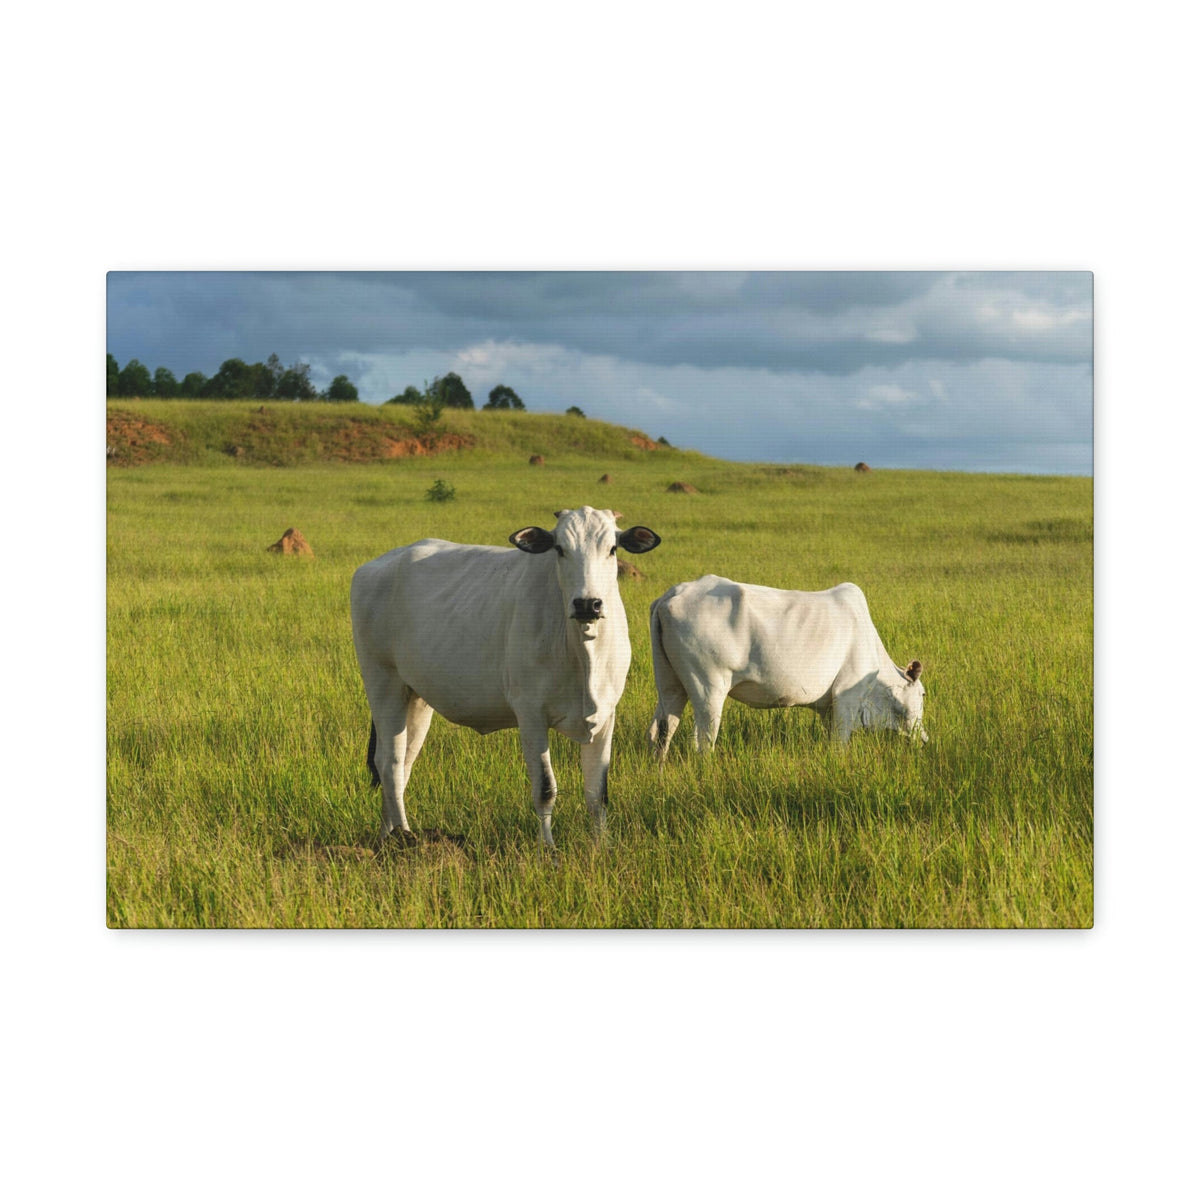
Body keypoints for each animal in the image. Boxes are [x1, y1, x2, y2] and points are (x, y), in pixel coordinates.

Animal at [350, 507, 662, 847]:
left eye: (612, 549)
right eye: (560, 548)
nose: (587, 604)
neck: (583, 652)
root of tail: (376, 565)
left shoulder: (606, 715)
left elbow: (597, 792)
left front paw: (602, 846)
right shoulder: (531, 714)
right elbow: (545, 789)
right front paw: (547, 848)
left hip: (416, 697)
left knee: (402, 763)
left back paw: (387, 837)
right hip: (382, 683)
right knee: (389, 764)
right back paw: (406, 838)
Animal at [647, 575, 927, 761]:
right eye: (923, 694)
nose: (924, 739)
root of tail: (673, 594)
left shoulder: (829, 707)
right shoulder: (847, 696)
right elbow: (839, 742)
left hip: (670, 684)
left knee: (660, 730)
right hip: (708, 687)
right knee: (703, 741)